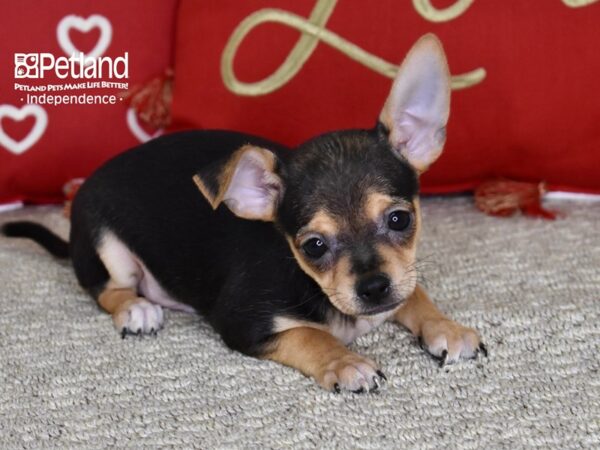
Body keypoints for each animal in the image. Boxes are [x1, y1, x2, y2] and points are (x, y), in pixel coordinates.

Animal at [2, 35, 486, 392]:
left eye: (400, 219)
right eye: (314, 246)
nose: (372, 287)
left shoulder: (400, 284)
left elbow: (415, 294)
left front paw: (446, 327)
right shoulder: (245, 325)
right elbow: (309, 334)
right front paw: (345, 361)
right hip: (108, 245)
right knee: (105, 288)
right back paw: (136, 309)